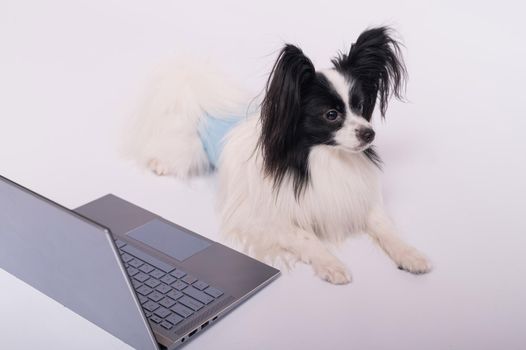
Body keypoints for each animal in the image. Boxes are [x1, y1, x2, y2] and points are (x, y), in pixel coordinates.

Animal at [127, 26, 434, 284]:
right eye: (331, 115)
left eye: (360, 107)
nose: (369, 134)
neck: (323, 158)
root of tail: (197, 91)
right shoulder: (264, 218)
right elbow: (306, 237)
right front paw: (331, 264)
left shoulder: (360, 201)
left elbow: (387, 228)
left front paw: (410, 254)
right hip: (188, 149)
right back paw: (158, 163)